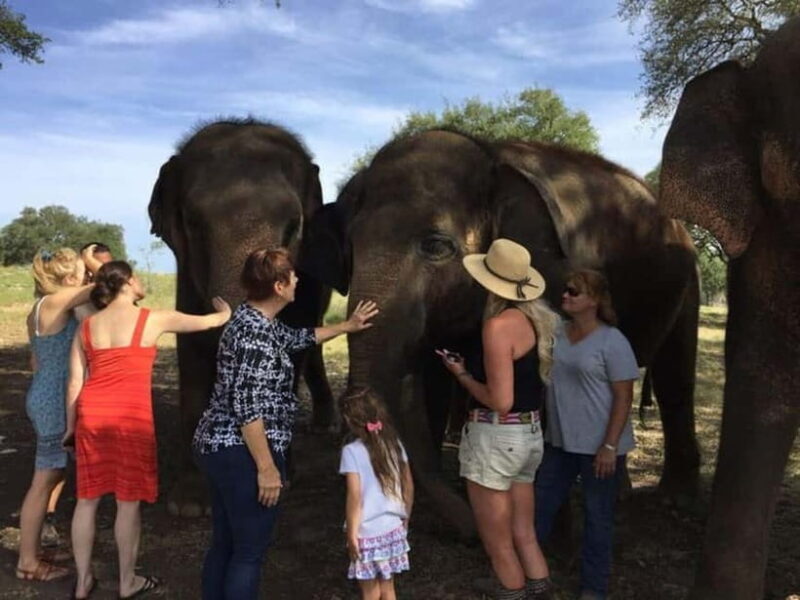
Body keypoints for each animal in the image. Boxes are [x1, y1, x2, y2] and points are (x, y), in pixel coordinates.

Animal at [148, 119, 334, 516]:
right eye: (192, 221)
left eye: (294, 225)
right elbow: (192, 348)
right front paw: (189, 505)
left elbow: (293, 350)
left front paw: (284, 477)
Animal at [300, 129, 701, 536]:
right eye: (351, 249)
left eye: (436, 246)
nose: (471, 528)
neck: (489, 153)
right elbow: (433, 386)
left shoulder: (553, 275)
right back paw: (620, 492)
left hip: (689, 278)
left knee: (675, 379)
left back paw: (675, 502)